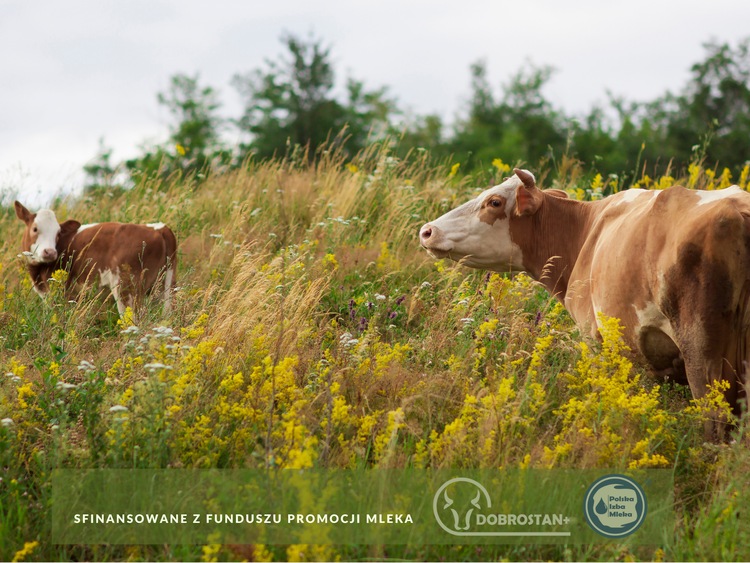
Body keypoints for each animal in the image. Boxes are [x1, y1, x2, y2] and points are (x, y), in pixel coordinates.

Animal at [15, 202, 180, 318]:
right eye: (35, 229)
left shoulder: (58, 295)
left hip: (126, 289)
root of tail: (159, 228)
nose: (50, 252)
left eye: (58, 233)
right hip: (166, 286)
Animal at [420, 170, 750, 438]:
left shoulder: (595, 341)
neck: (583, 233)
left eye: (494, 202)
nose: (427, 231)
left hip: (702, 351)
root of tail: (738, 210)